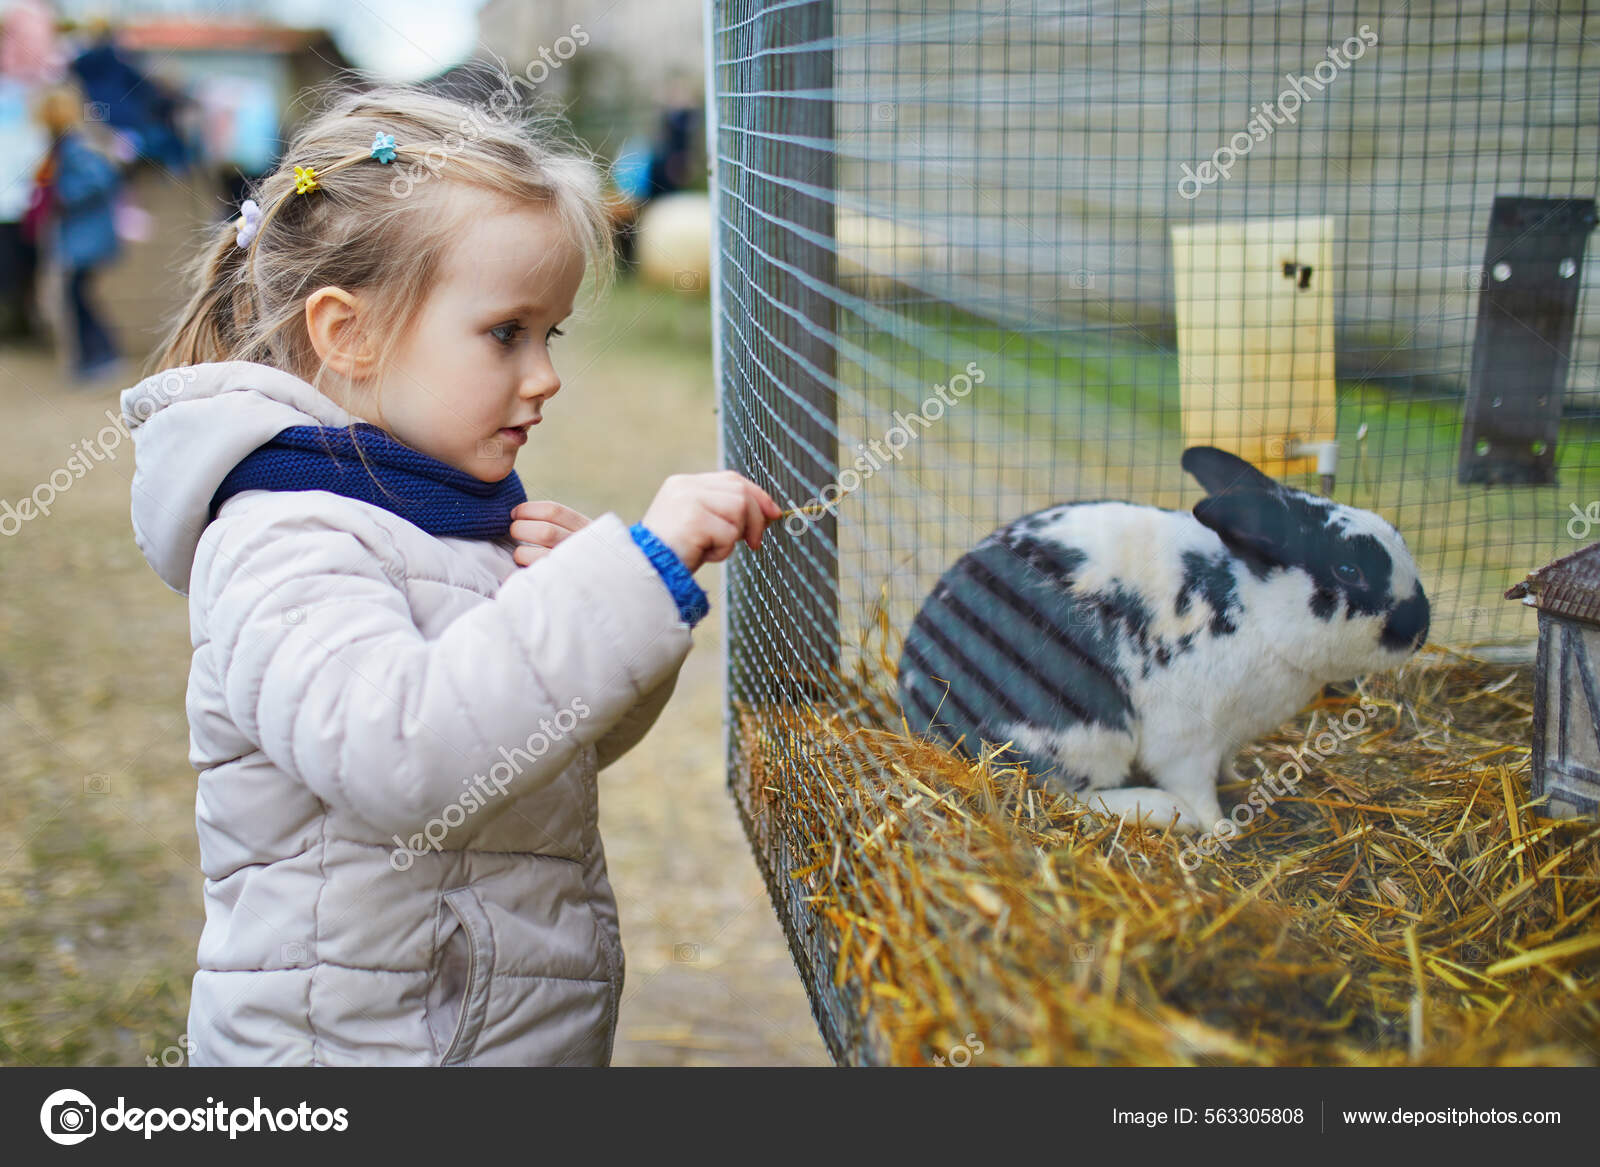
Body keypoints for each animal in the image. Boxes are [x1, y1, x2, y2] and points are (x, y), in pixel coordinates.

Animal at [896, 445, 1430, 831]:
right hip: (1082, 735)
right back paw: (1165, 812)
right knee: (1072, 794)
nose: (1420, 629)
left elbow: (1226, 767)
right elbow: (1197, 787)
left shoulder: (1228, 737)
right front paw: (1223, 829)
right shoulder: (1187, 739)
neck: (1252, 609)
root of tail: (918, 712)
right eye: (1349, 570)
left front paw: (1243, 778)